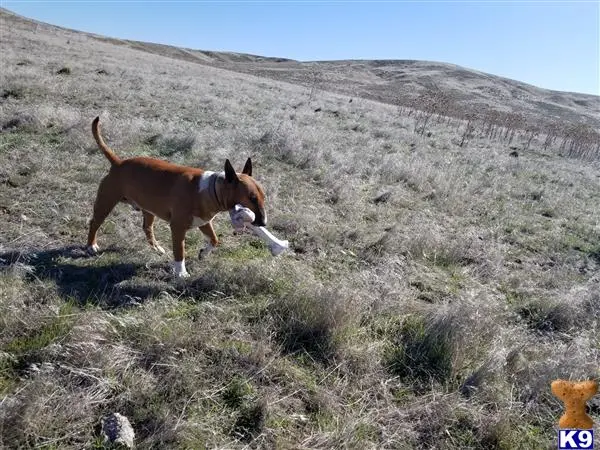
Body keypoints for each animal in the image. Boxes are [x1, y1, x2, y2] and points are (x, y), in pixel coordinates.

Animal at [86, 116, 268, 278]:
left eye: (263, 197)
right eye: (251, 198)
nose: (263, 223)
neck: (210, 189)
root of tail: (118, 163)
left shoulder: (204, 222)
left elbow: (214, 240)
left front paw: (203, 253)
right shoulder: (178, 228)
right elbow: (180, 251)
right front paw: (181, 273)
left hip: (148, 209)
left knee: (147, 228)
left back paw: (157, 248)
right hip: (106, 202)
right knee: (94, 222)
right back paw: (91, 245)